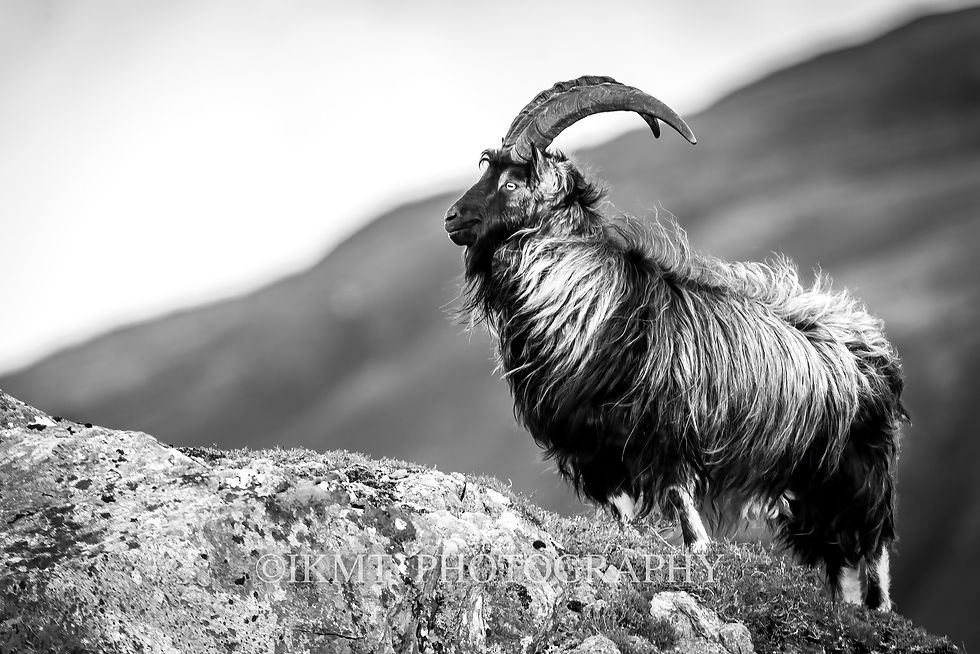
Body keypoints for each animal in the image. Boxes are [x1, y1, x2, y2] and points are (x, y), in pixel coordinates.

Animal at [444, 76, 905, 611]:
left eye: (512, 183)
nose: (451, 217)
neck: (591, 302)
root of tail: (870, 346)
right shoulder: (594, 450)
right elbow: (621, 516)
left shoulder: (664, 435)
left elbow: (685, 512)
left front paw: (698, 557)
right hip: (813, 489)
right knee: (836, 557)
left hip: (860, 473)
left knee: (873, 546)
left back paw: (877, 610)